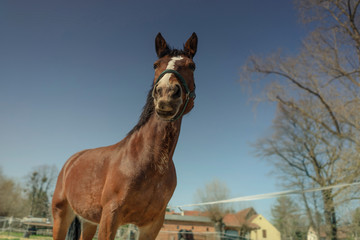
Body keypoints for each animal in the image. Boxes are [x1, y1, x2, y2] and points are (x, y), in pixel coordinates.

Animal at [51, 32, 197, 240]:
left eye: (192, 66)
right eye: (155, 65)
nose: (166, 94)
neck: (149, 162)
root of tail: (71, 161)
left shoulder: (151, 226)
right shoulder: (110, 218)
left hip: (89, 222)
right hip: (61, 215)